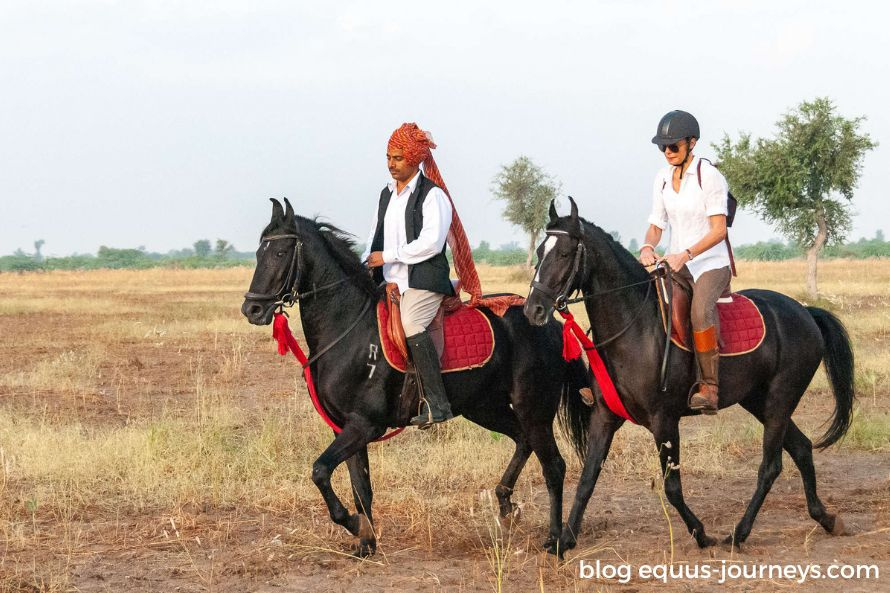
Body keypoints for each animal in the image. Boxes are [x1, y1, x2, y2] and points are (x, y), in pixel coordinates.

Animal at [239, 199, 588, 556]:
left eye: (280, 253)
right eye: (258, 253)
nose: (252, 309)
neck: (348, 329)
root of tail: (551, 324)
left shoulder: (365, 425)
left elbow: (320, 471)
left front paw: (352, 524)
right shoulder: (345, 426)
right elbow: (360, 487)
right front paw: (366, 542)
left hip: (534, 408)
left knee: (554, 466)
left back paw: (554, 540)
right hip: (485, 408)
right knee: (522, 440)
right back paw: (506, 504)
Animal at [520, 198, 852, 552]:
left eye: (565, 253)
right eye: (539, 251)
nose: (533, 309)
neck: (635, 327)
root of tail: (806, 312)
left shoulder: (664, 420)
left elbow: (672, 488)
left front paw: (701, 533)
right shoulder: (605, 416)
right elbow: (588, 478)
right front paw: (564, 539)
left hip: (780, 399)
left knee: (770, 466)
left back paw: (739, 533)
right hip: (759, 401)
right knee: (802, 447)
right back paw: (826, 518)